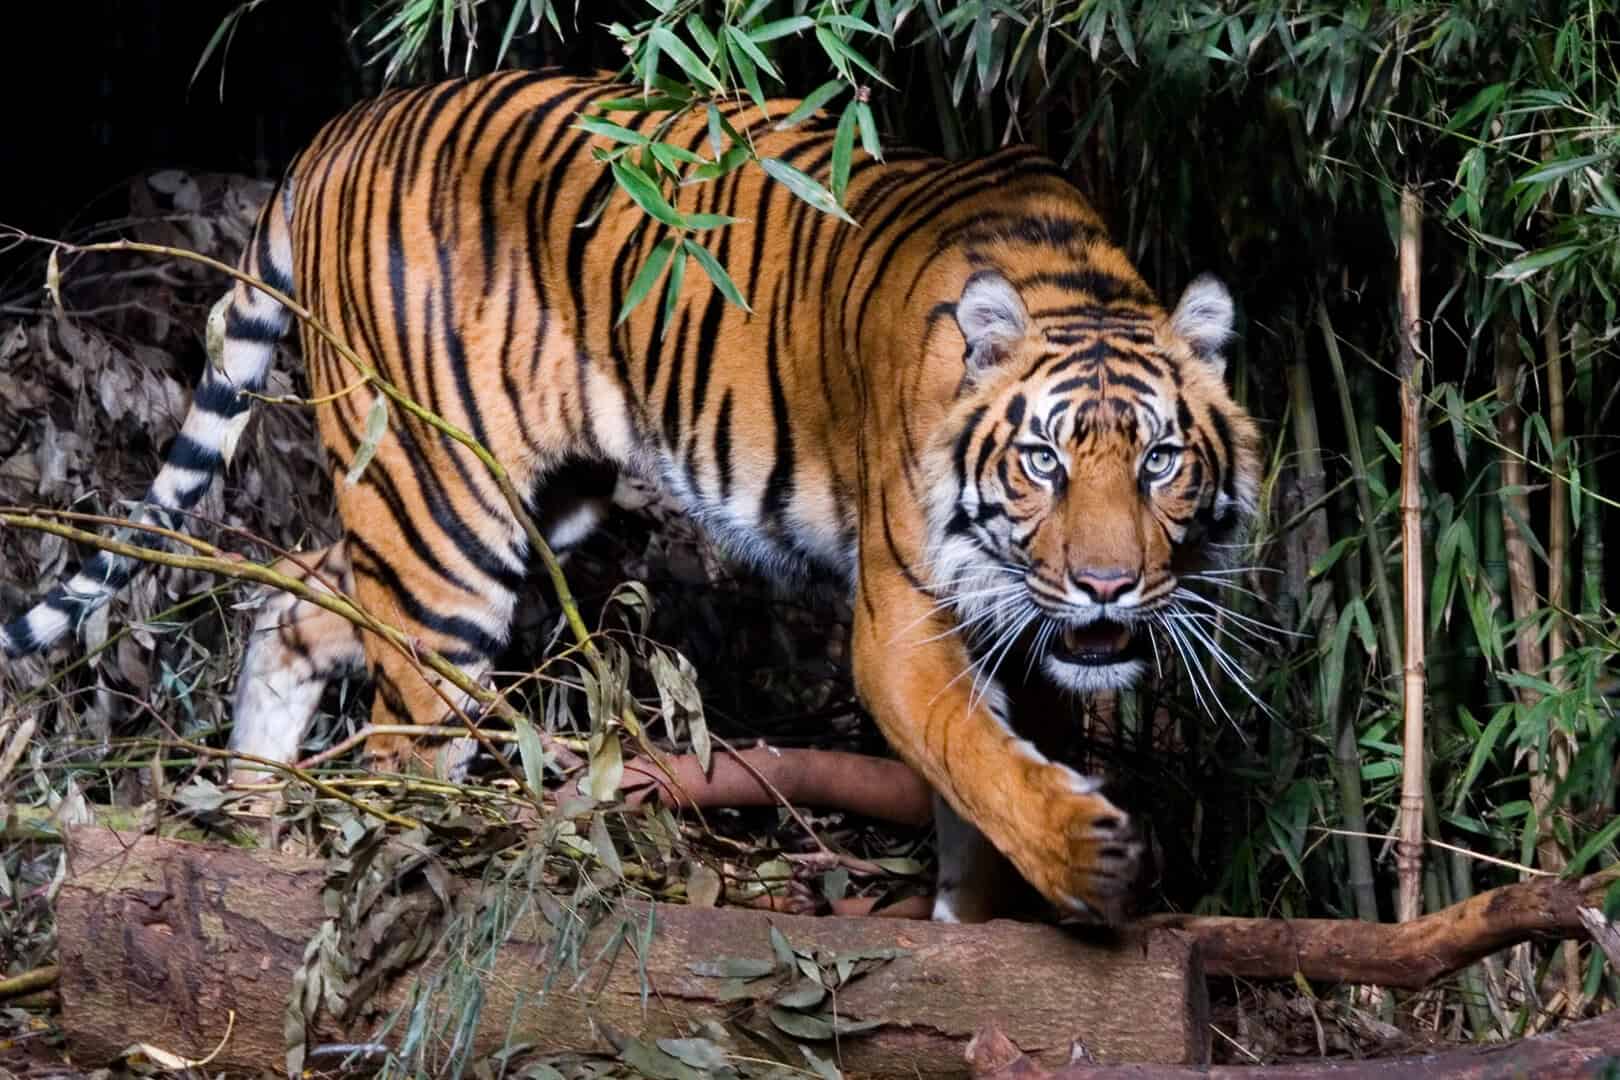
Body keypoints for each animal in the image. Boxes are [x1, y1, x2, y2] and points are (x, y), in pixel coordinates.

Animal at [1, 69, 1260, 924]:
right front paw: (1093, 857)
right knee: (403, 742)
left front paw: (984, 919)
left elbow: (981, 786)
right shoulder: (903, 616)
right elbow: (969, 751)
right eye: (1043, 460)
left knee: (291, 604)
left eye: (1161, 461)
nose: (1107, 588)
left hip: (507, 501)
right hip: (443, 520)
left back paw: (258, 833)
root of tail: (341, 128)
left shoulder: (1017, 632)